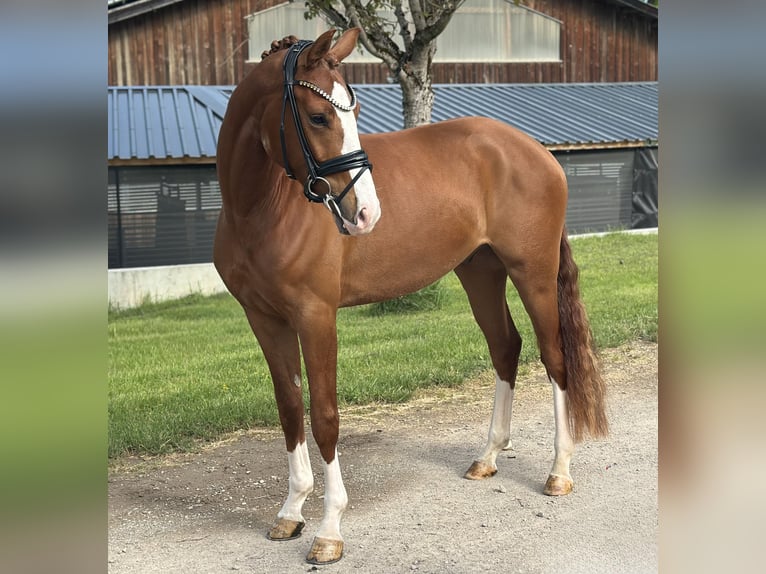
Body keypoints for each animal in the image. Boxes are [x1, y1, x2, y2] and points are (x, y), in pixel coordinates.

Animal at [214, 28, 608, 565]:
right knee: (505, 348)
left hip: (535, 274)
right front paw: (291, 512)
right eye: (318, 116)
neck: (261, 208)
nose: (365, 213)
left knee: (555, 359)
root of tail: (534, 149)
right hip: (479, 272)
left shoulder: (316, 316)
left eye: (354, 112)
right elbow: (290, 408)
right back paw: (487, 457)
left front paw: (329, 530)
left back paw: (559, 471)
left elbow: (325, 417)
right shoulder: (263, 318)